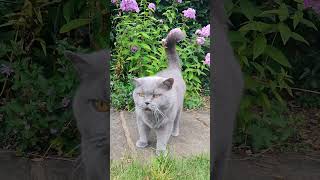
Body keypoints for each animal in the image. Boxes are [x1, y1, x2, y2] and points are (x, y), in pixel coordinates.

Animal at [132, 27, 186, 155]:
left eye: (156, 95)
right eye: (141, 94)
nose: (146, 102)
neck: (151, 117)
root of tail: (173, 68)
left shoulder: (166, 124)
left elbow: (162, 139)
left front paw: (161, 152)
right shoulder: (140, 120)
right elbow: (142, 132)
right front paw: (142, 143)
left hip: (179, 108)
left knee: (176, 121)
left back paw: (175, 133)